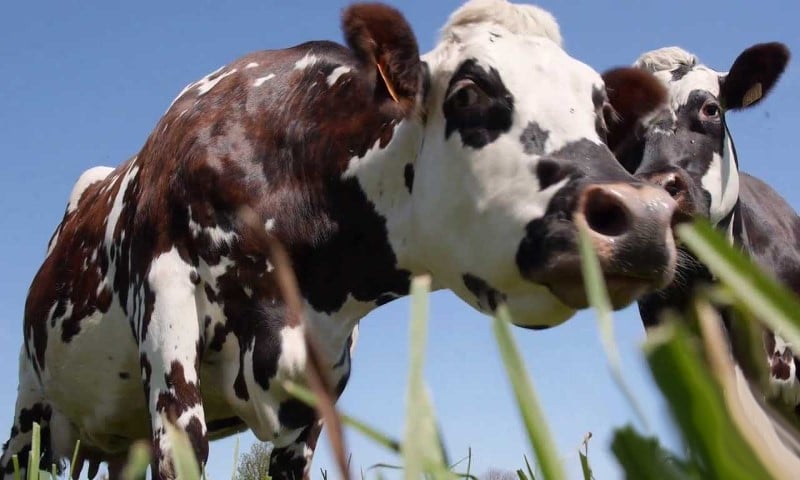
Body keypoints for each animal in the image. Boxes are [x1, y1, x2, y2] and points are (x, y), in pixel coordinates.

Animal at [1, 1, 681, 479]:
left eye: (602, 114)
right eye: (468, 92)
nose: (644, 216)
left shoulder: (318, 379)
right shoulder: (167, 315)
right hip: (31, 409)